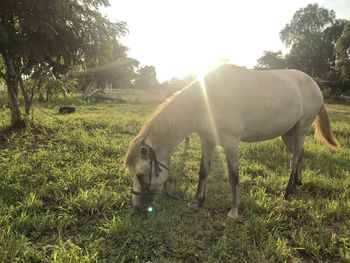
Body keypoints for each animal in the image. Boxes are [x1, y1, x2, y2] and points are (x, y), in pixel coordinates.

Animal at [125, 64, 340, 219]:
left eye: (140, 175)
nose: (137, 208)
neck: (206, 101)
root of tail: (314, 83)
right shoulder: (207, 141)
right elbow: (203, 172)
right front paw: (197, 202)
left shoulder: (231, 144)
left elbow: (233, 176)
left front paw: (235, 210)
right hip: (289, 133)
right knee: (299, 154)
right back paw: (296, 183)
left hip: (301, 129)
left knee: (294, 160)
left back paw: (287, 192)